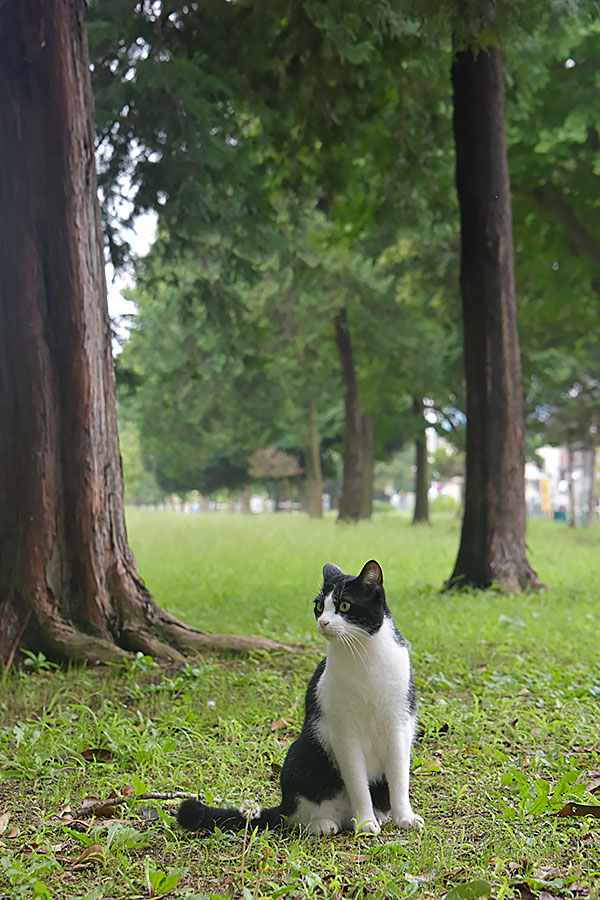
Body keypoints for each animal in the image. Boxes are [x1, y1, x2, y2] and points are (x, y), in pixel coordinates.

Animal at [178, 564, 422, 836]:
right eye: (319, 606)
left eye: (344, 606)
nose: (323, 622)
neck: (365, 658)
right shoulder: (344, 732)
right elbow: (358, 784)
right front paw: (365, 823)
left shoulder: (398, 724)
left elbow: (400, 778)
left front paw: (405, 817)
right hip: (304, 749)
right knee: (298, 817)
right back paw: (326, 824)